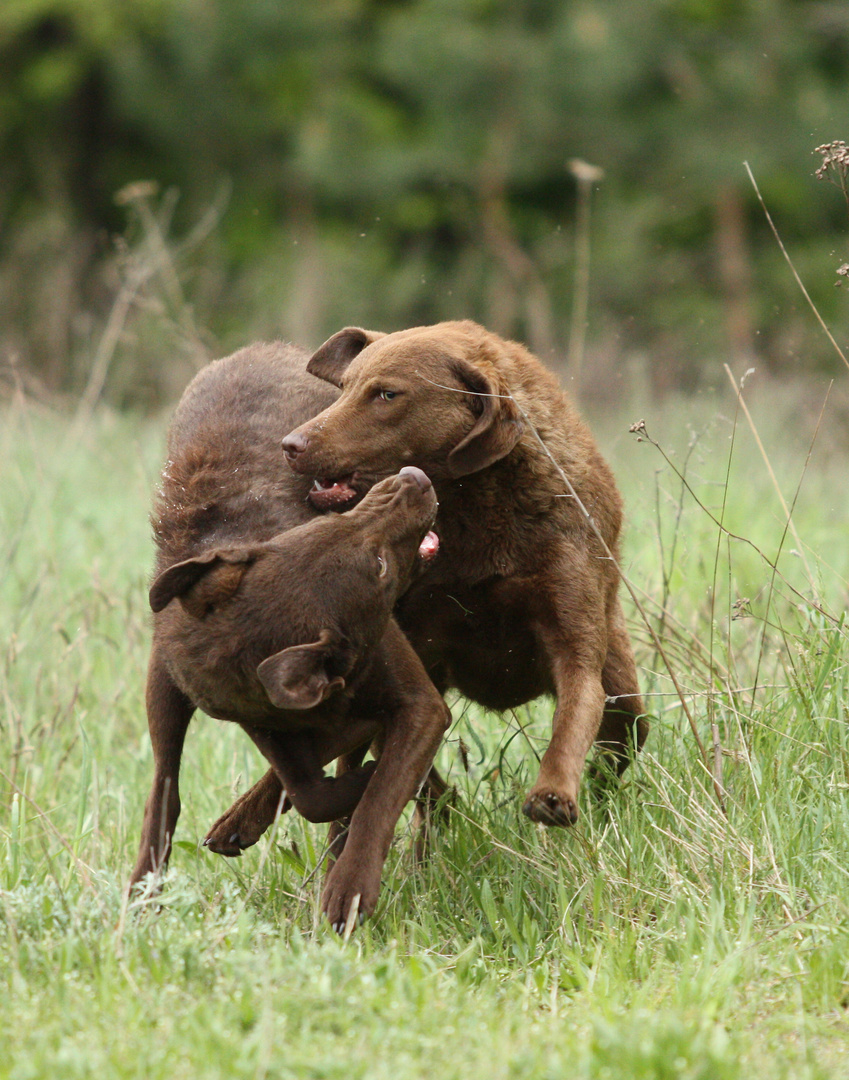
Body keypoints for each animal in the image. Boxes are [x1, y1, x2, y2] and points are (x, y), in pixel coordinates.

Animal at [127, 343, 447, 928]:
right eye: (377, 565)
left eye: (319, 525)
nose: (412, 479)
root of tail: (261, 348)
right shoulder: (258, 716)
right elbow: (312, 789)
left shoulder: (419, 705)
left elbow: (377, 793)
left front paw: (349, 887)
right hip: (163, 688)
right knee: (165, 789)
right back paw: (145, 892)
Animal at [214, 319, 643, 833]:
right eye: (344, 387)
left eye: (387, 394)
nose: (290, 446)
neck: (477, 510)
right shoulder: (411, 647)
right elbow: (400, 757)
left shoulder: (571, 636)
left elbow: (575, 711)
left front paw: (552, 794)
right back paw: (241, 819)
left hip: (625, 691)